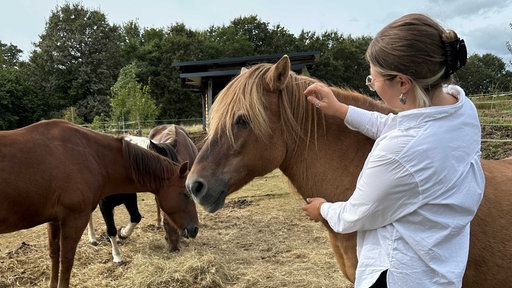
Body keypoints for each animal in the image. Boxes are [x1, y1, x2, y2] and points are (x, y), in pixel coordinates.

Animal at [87, 135, 183, 264]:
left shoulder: (130, 199)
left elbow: (135, 217)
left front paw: (122, 234)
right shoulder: (105, 205)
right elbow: (111, 229)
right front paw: (117, 256)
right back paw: (92, 238)